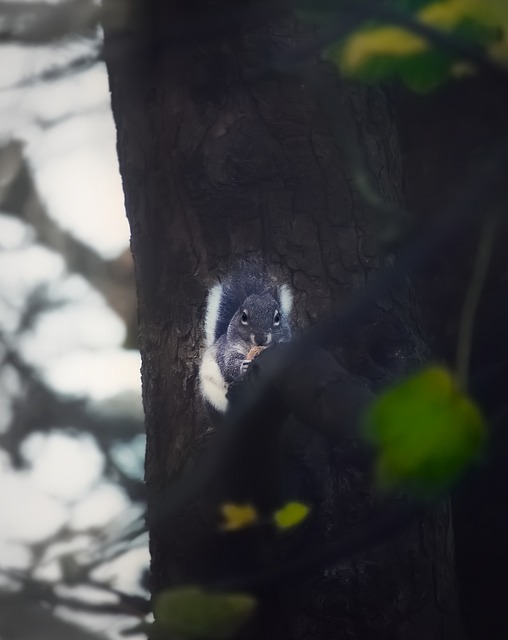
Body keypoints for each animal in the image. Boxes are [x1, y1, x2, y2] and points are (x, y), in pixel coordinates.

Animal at [199, 264, 293, 414]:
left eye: (277, 317)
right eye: (244, 317)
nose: (261, 338)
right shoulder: (228, 349)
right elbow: (228, 366)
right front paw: (243, 366)